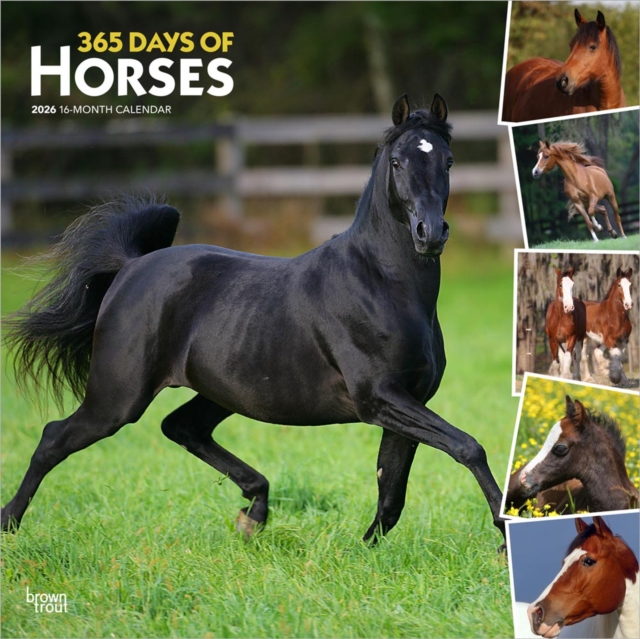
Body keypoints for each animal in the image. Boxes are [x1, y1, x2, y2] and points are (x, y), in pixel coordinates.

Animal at [1, 94, 506, 546]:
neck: (382, 282)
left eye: (448, 160)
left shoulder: (408, 400)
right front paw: (504, 538)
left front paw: (363, 551)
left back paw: (254, 513)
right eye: (399, 161)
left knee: (181, 428)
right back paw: (10, 523)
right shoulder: (379, 398)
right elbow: (467, 447)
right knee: (54, 438)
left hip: (221, 392)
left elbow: (391, 492)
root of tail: (129, 267)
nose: (430, 233)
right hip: (118, 397)